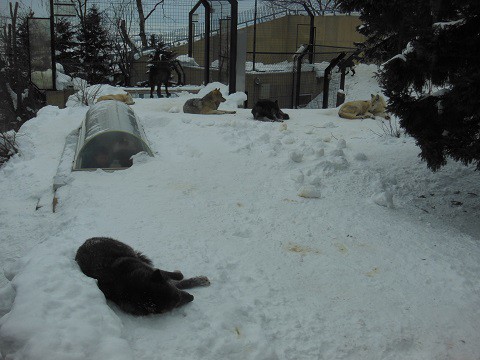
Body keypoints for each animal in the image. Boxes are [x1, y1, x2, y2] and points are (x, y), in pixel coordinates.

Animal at [75, 238, 210, 316]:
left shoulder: (152, 272)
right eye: (176, 303)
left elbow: (178, 277)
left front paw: (198, 280)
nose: (192, 297)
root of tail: (82, 245)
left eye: (177, 295)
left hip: (126, 249)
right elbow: (179, 281)